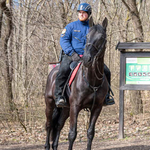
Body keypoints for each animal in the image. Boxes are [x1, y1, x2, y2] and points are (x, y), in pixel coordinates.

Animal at [44, 17, 109, 150]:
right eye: (87, 36)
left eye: (101, 37)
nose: (86, 59)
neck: (91, 81)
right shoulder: (75, 106)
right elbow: (72, 134)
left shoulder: (97, 108)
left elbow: (90, 133)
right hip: (50, 103)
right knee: (48, 125)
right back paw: (47, 146)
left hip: (65, 109)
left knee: (58, 125)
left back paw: (55, 146)